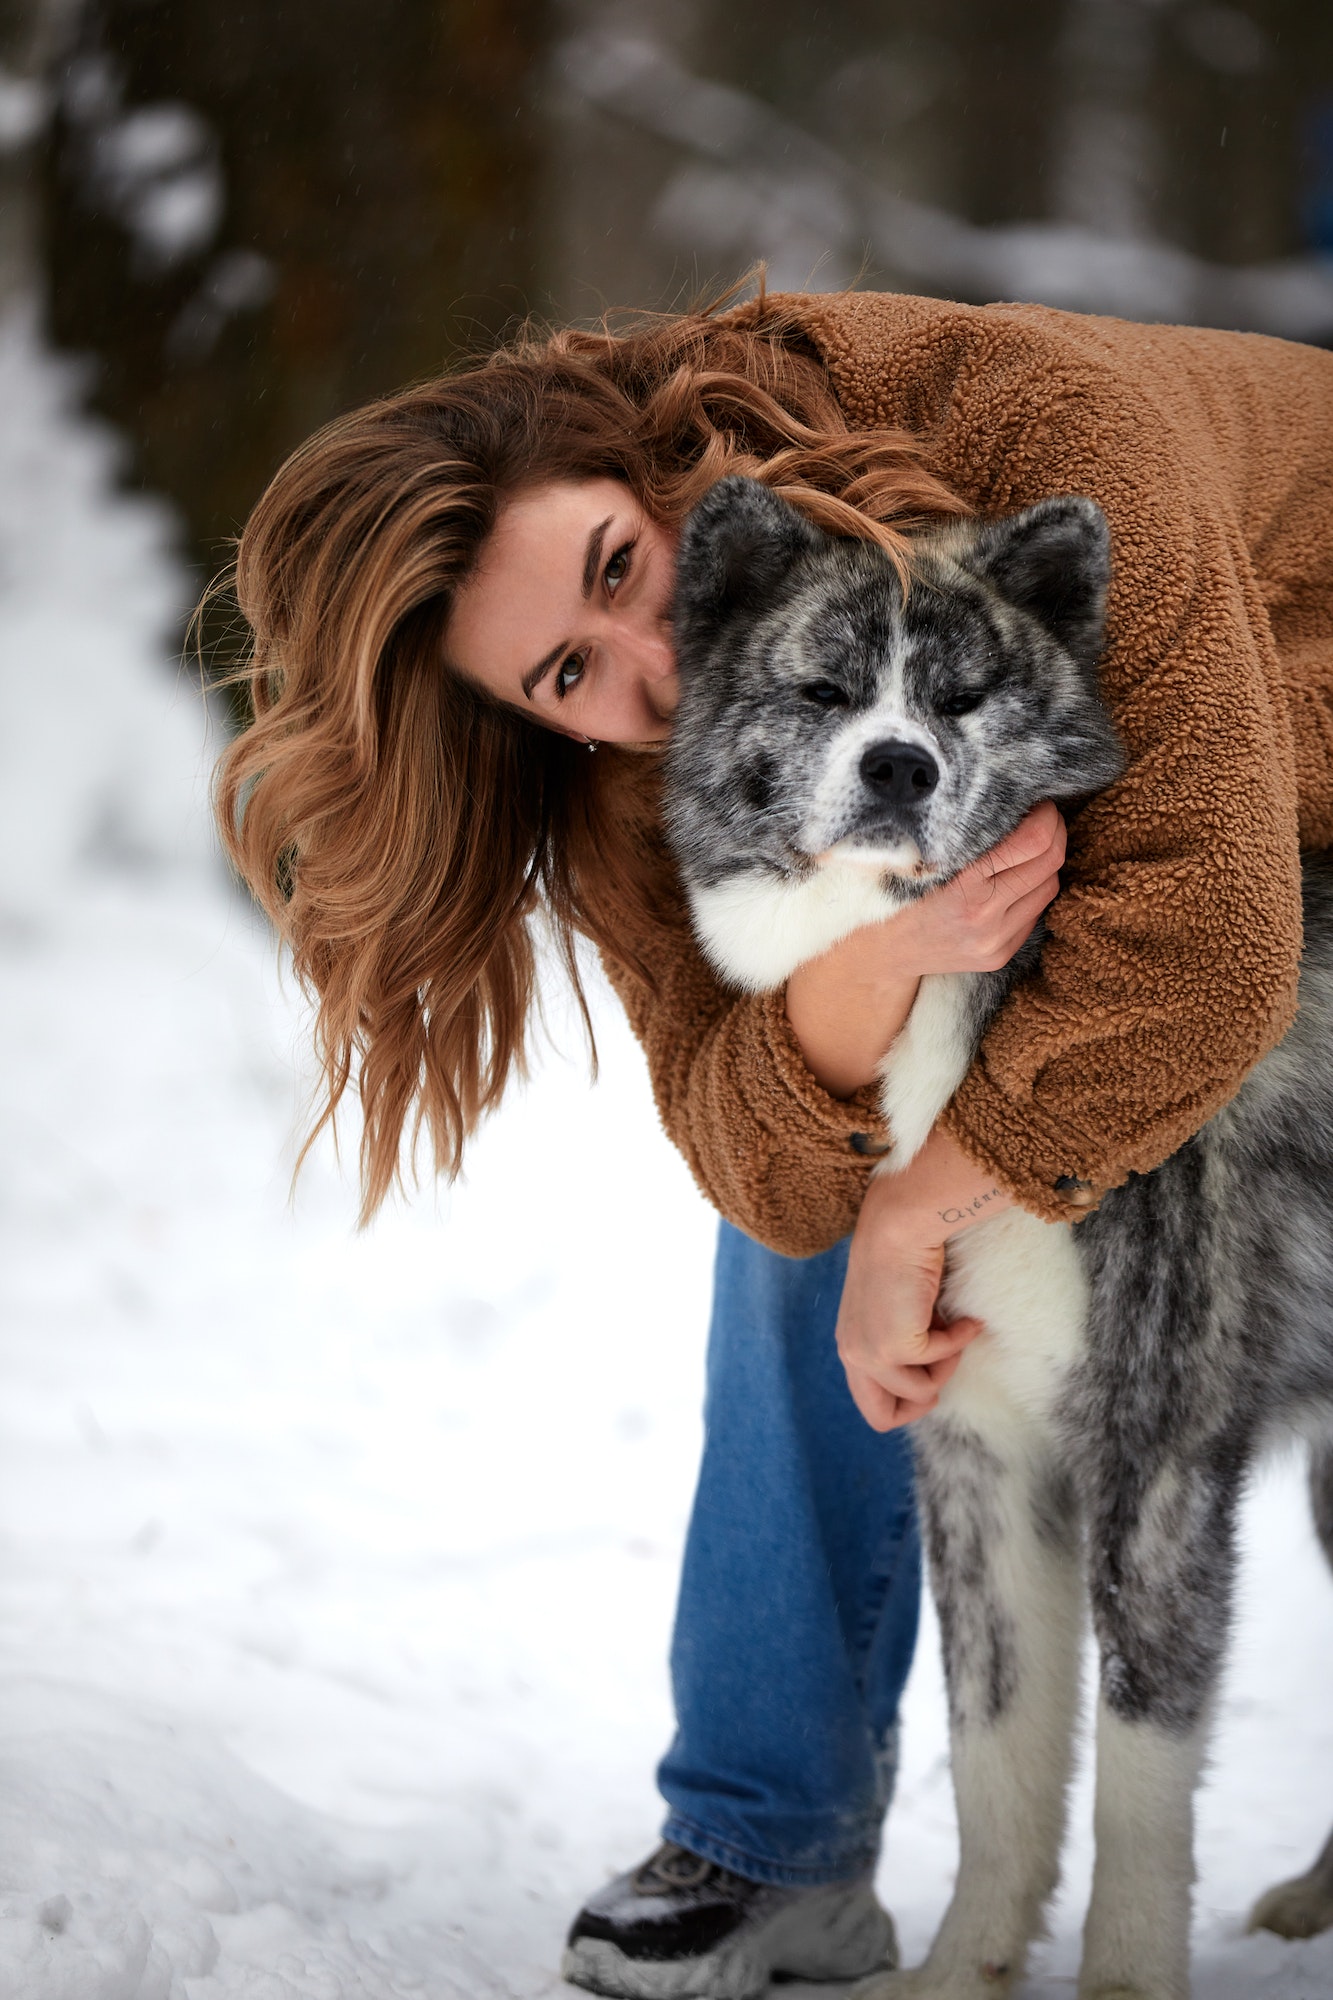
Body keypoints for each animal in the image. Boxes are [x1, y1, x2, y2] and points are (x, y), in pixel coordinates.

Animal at [664, 476, 1333, 1992]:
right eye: (825, 688)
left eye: (962, 698)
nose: (898, 768)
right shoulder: (976, 1446)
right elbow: (998, 1759)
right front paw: (963, 1970)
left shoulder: (1153, 1462)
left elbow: (1140, 1775)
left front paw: (1128, 1980)